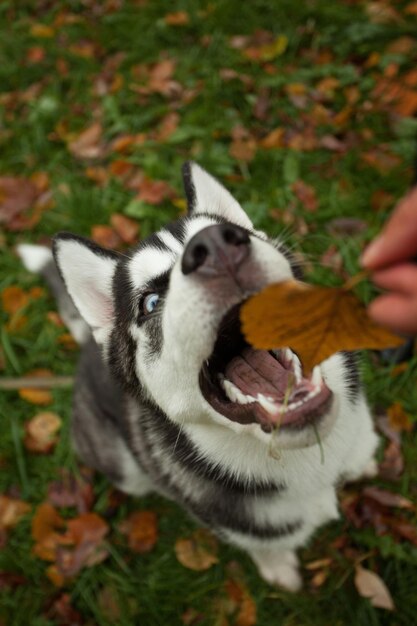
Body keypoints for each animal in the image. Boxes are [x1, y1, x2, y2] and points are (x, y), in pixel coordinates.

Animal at [17, 162, 378, 588]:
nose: (217, 247)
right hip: (124, 467)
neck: (311, 461)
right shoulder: (251, 530)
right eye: (150, 302)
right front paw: (279, 569)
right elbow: (268, 547)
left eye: (243, 234)